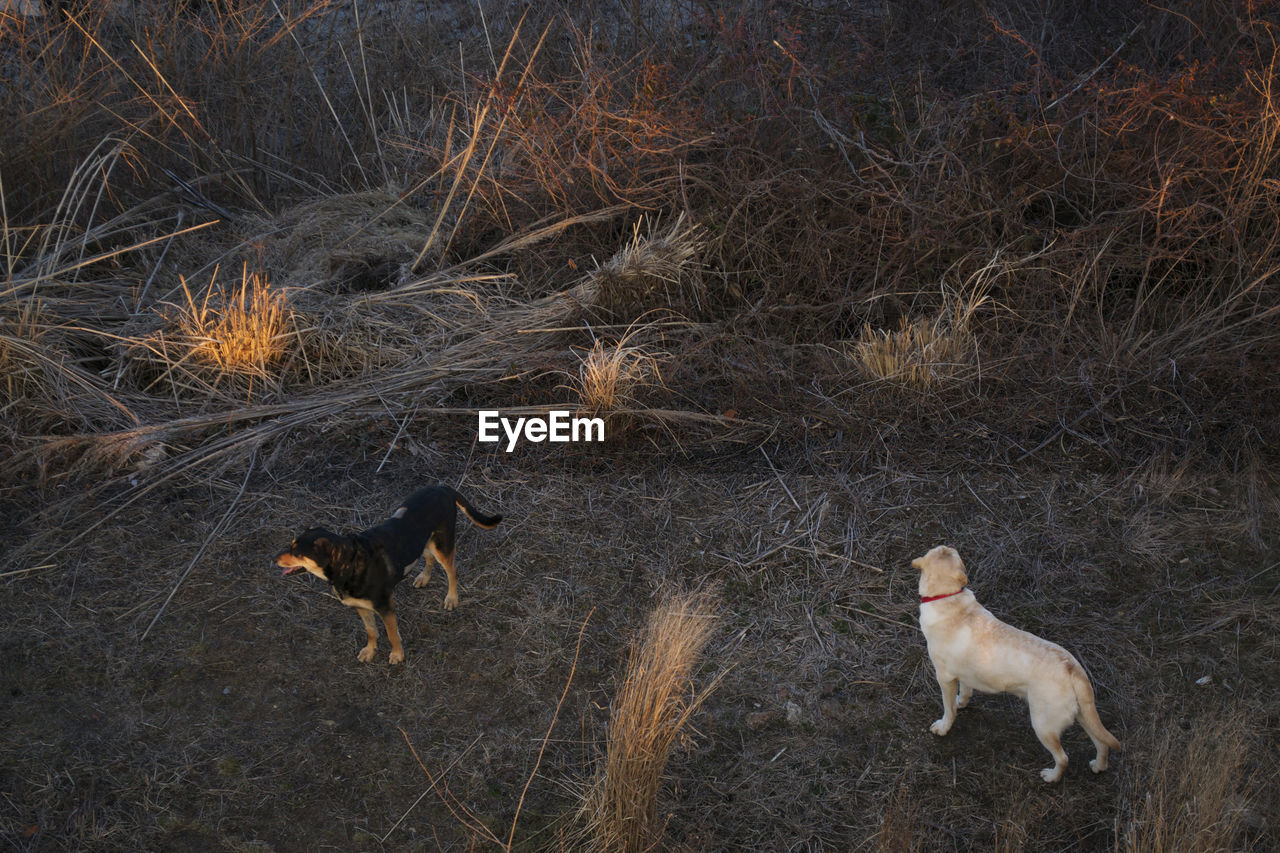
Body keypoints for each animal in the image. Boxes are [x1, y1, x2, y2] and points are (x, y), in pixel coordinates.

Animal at [275, 484, 499, 655]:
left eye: (297, 552)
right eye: (291, 545)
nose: (274, 559)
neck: (348, 565)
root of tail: (442, 487)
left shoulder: (386, 607)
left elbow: (392, 635)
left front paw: (397, 656)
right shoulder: (361, 607)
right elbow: (371, 631)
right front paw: (369, 651)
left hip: (442, 545)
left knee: (452, 571)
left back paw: (451, 598)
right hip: (422, 542)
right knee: (427, 558)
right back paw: (423, 578)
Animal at [911, 545, 1121, 778]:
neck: (947, 597)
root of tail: (1071, 666)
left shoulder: (944, 677)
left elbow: (948, 709)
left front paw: (943, 727)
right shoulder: (964, 674)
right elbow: (965, 692)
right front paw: (961, 703)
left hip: (1043, 724)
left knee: (1063, 758)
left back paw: (1051, 776)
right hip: (1084, 714)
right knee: (1102, 744)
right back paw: (1098, 766)